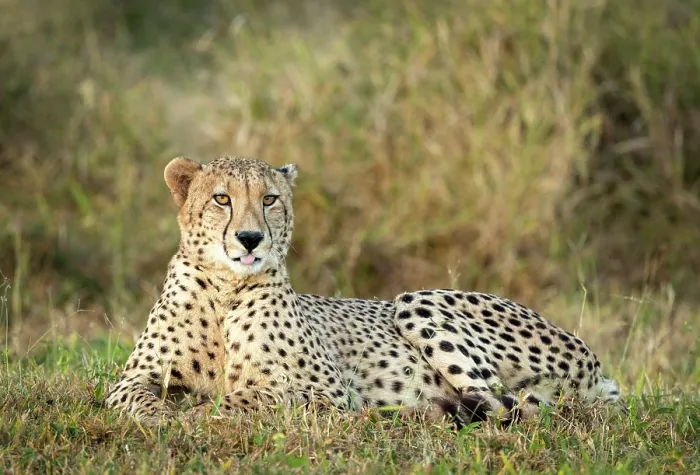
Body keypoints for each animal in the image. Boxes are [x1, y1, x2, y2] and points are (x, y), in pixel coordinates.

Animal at [105, 155, 625, 427]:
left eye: (269, 199)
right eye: (221, 199)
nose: (250, 239)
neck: (225, 289)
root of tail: (596, 366)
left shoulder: (325, 390)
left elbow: (250, 396)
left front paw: (195, 414)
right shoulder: (133, 377)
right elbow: (135, 398)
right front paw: (163, 416)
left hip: (418, 300)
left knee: (511, 405)